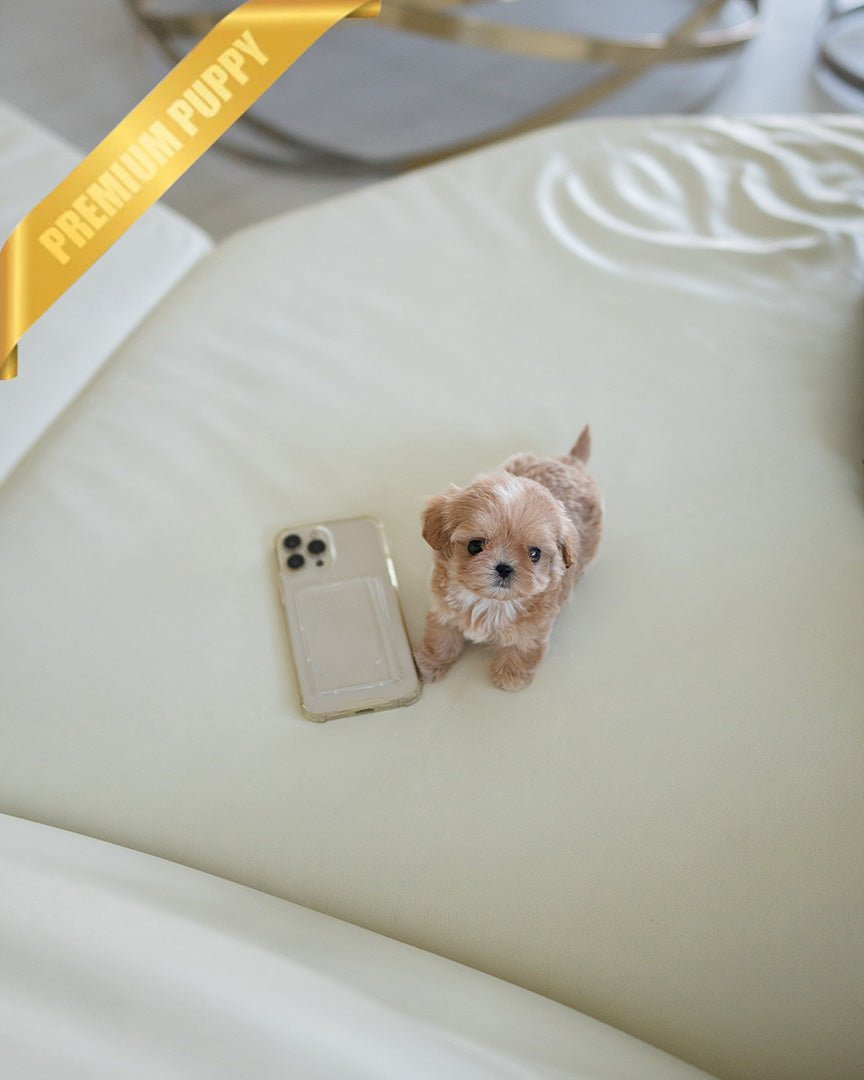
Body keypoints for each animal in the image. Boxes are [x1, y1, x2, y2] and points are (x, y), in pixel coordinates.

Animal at [415, 427, 603, 691]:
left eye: (534, 553)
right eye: (474, 546)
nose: (504, 567)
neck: (490, 602)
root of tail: (569, 462)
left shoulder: (534, 628)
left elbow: (523, 647)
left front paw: (511, 676)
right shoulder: (443, 611)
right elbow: (440, 637)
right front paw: (430, 664)